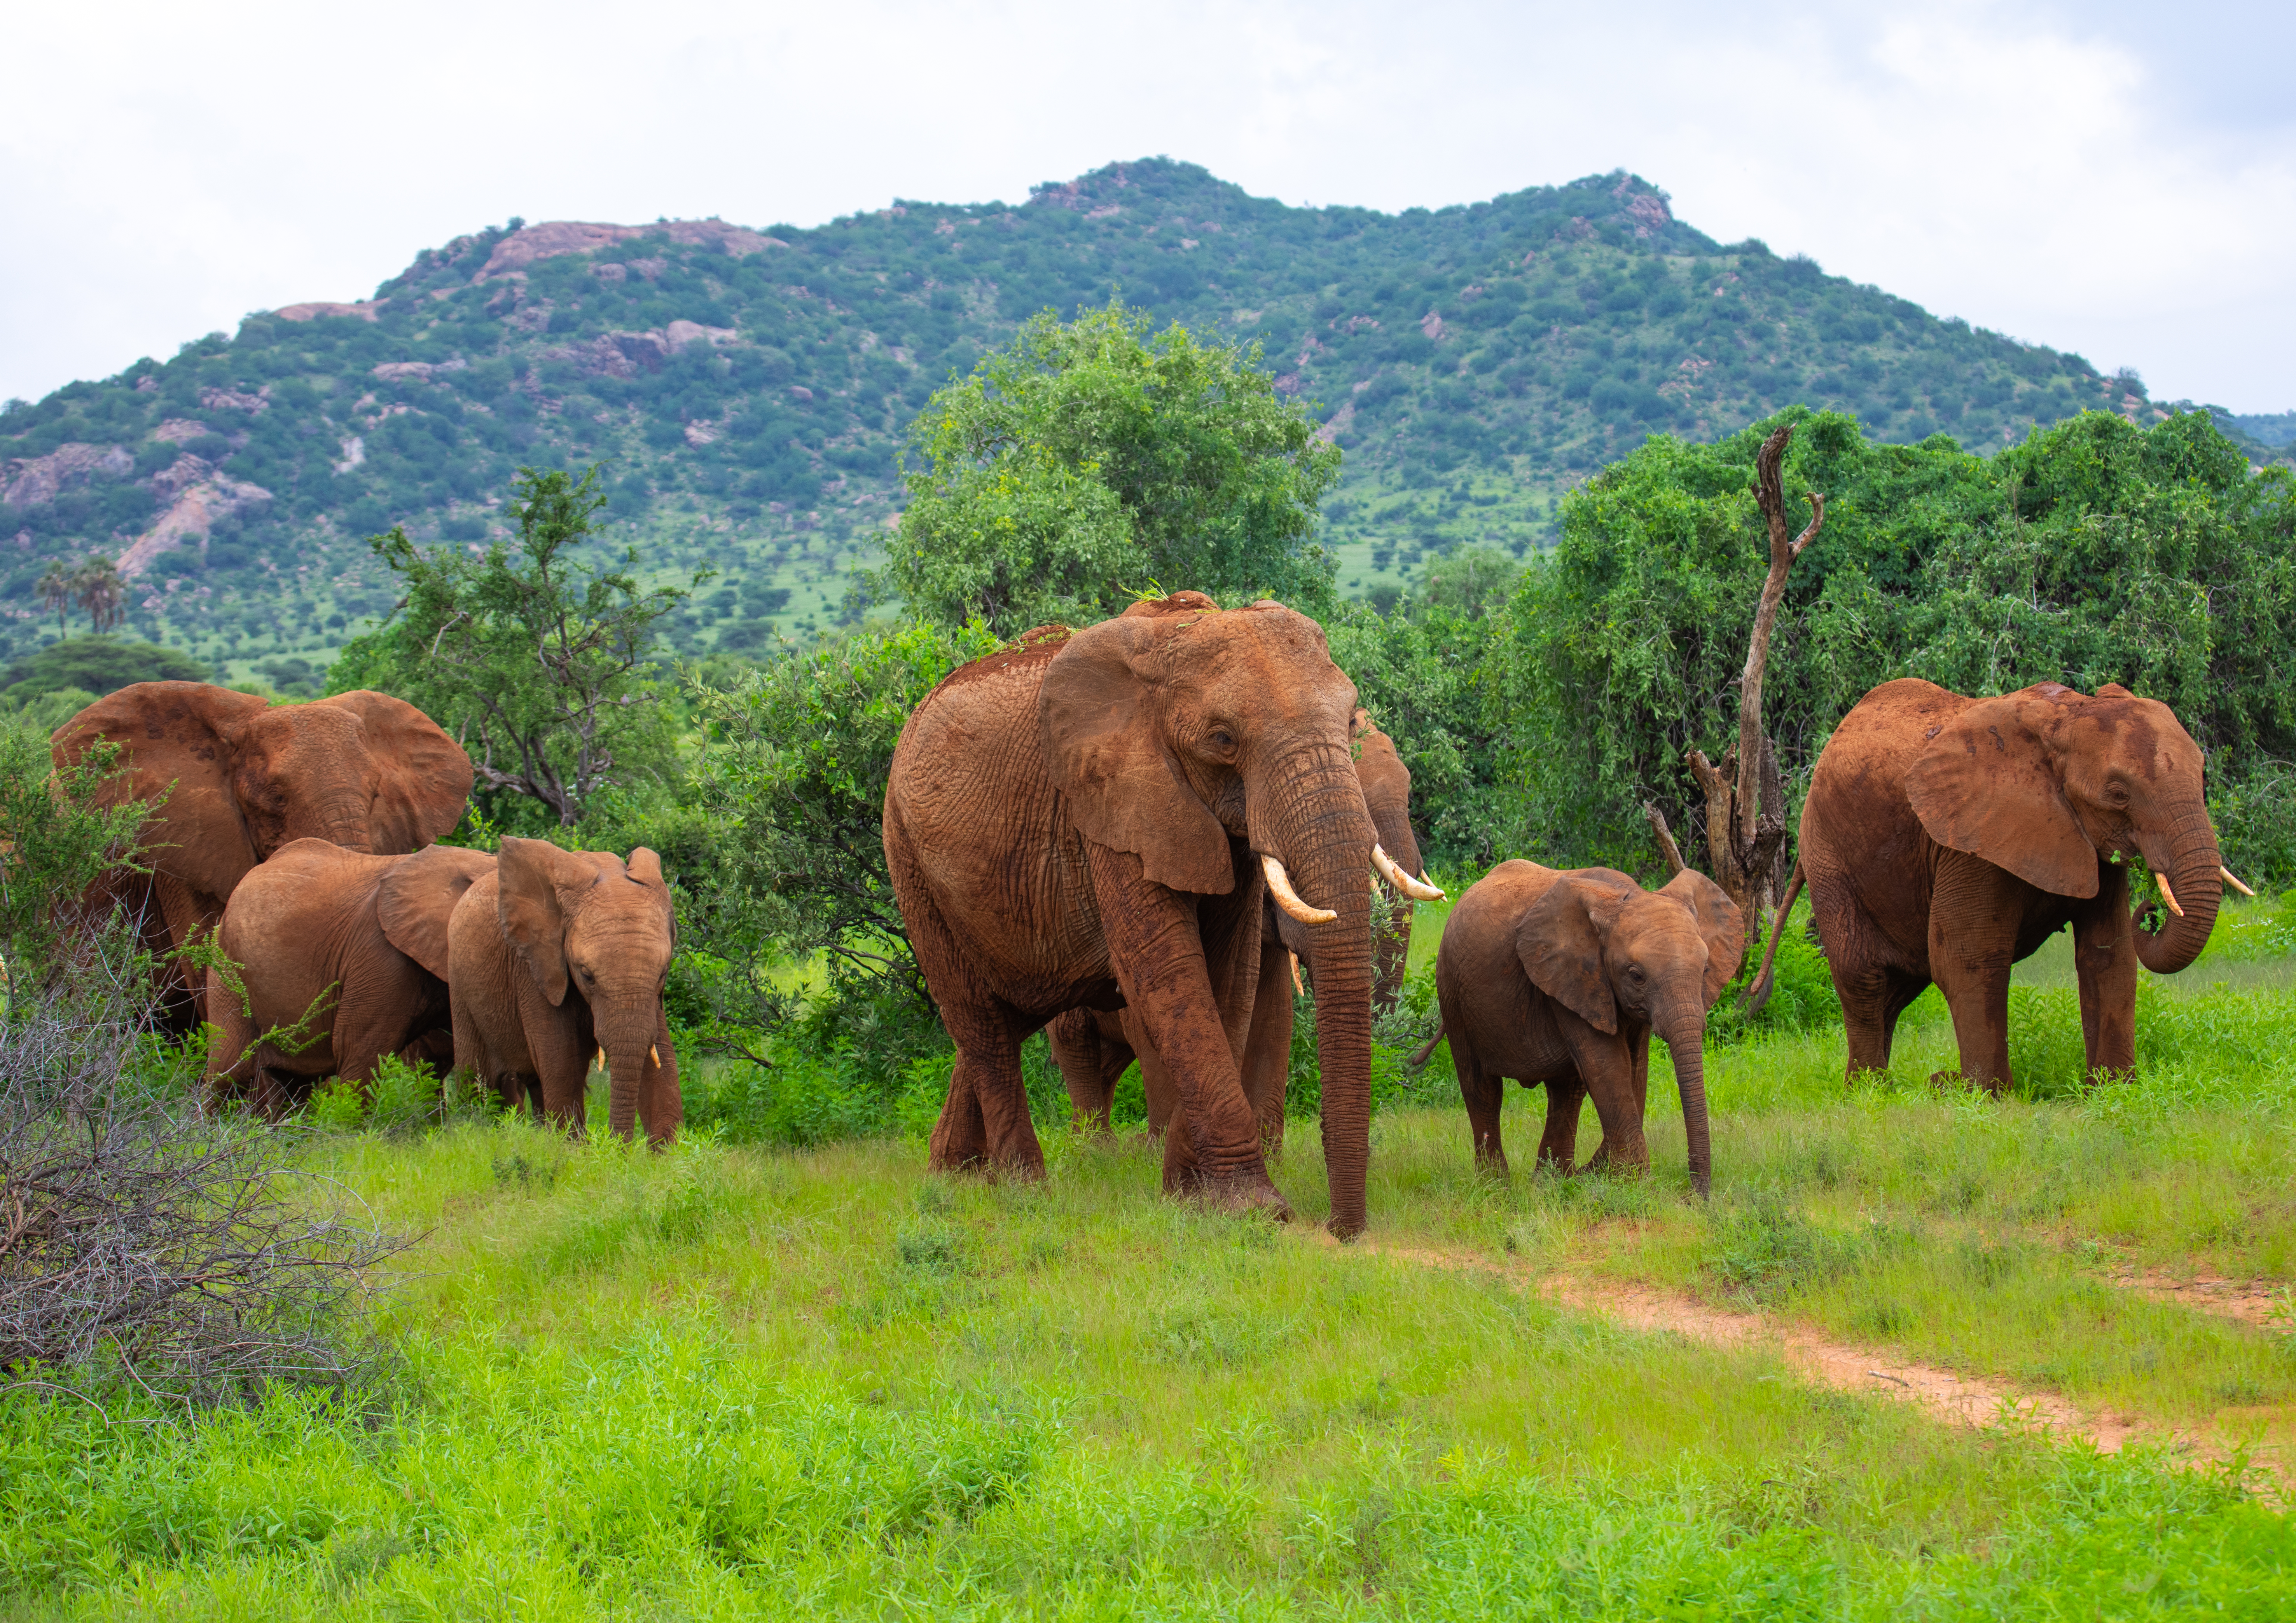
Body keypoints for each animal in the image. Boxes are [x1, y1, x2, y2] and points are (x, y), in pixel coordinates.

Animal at [447, 835, 681, 1145]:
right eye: (587, 976)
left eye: (663, 974)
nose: (620, 1147)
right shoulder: (535, 969)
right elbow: (563, 1063)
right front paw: (572, 1150)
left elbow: (661, 1060)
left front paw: (667, 1153)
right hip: (460, 985)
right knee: (475, 1077)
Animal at [882, 593, 1389, 1237]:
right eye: (1223, 738)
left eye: (1350, 723)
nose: (1340, 1230)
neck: (1170, 643)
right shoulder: (1110, 809)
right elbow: (1167, 974)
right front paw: (1252, 1210)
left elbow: (1229, 979)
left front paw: (1189, 1196)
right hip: (909, 861)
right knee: (980, 1021)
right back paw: (1024, 1193)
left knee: (1009, 1011)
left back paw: (953, 1178)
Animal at [1045, 715, 1439, 1153]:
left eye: (1409, 791)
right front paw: (1161, 1150)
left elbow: (1276, 1015)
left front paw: (1269, 1154)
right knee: (1075, 1042)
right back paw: (1093, 1148)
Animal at [1433, 862, 1742, 1194]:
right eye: (1636, 976)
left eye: (1706, 970)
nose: (1696, 1197)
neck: (1625, 895)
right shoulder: (1574, 976)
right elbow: (1609, 1066)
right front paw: (1628, 1181)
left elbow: (1635, 1069)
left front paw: (1605, 1176)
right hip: (1452, 991)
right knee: (1483, 1089)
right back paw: (1497, 1187)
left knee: (1567, 1092)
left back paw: (1552, 1183)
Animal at [1770, 677, 2234, 1094]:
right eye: (2118, 794)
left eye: (2202, 777)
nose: (2152, 911)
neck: (2066, 717)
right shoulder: (1969, 842)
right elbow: (1968, 958)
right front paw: (1985, 1095)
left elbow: (2109, 957)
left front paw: (2113, 1090)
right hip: (1828, 854)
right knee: (1862, 975)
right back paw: (1872, 1092)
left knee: (1899, 983)